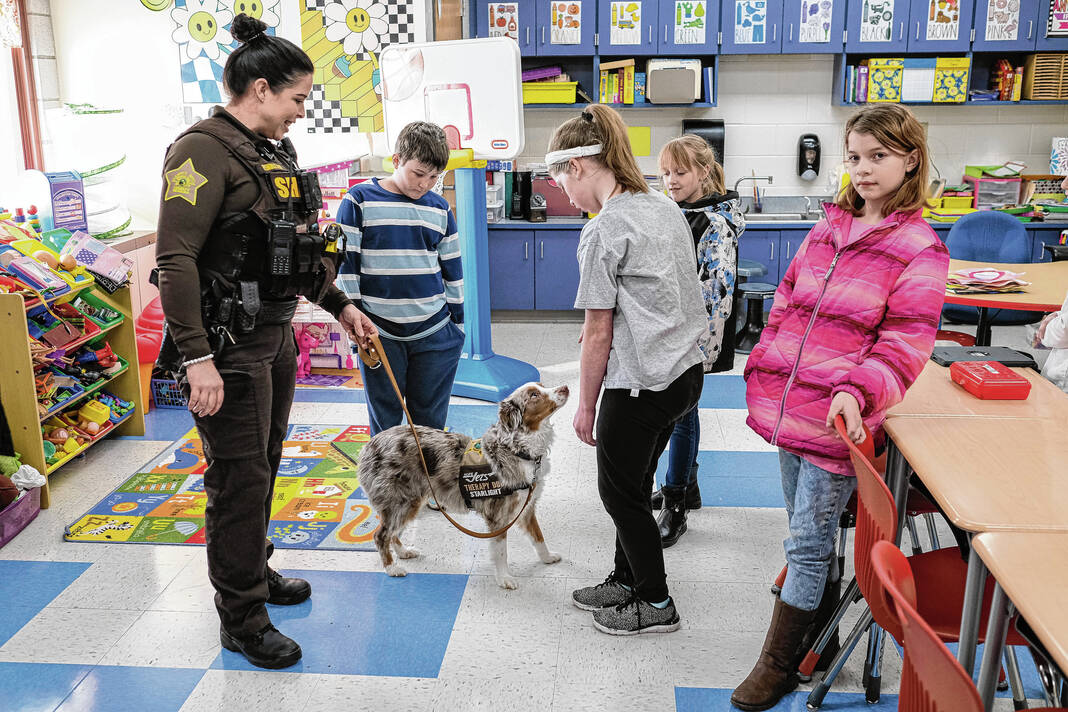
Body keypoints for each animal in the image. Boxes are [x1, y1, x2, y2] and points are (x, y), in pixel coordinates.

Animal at [358, 382, 568, 589]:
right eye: (533, 395)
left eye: (542, 386)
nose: (565, 388)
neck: (518, 450)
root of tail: (368, 445)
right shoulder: (499, 516)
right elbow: (501, 552)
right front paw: (504, 578)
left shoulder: (527, 507)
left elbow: (538, 537)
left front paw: (547, 558)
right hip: (399, 501)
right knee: (381, 535)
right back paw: (392, 568)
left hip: (410, 502)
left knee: (392, 533)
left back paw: (403, 552)